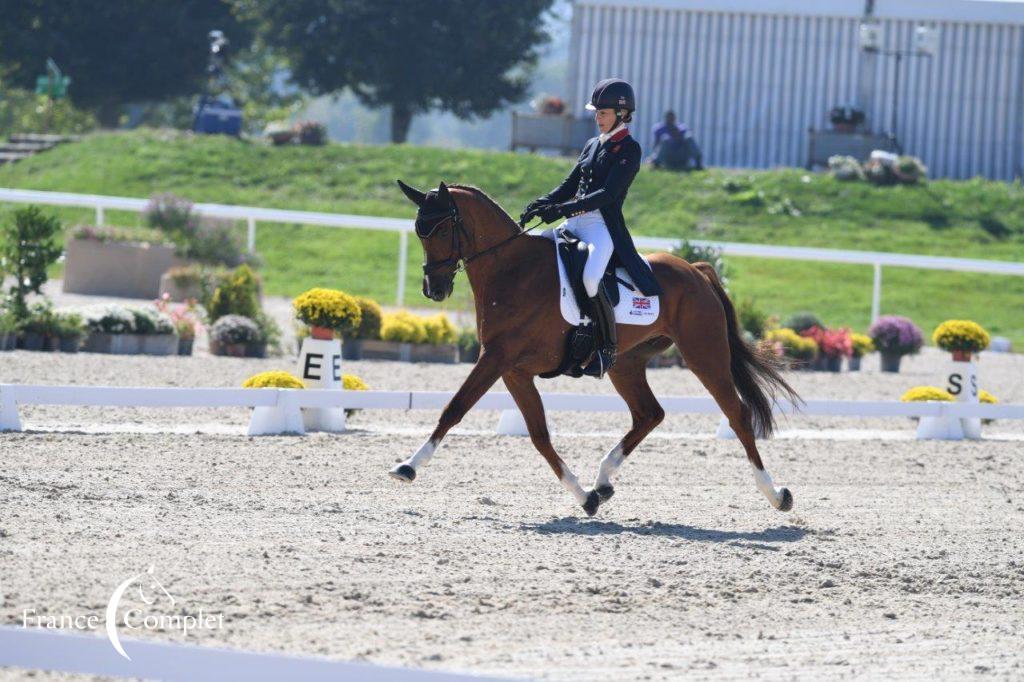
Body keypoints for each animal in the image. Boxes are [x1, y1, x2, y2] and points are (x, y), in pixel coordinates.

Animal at [387, 180, 794, 516]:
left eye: (442, 229)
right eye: (419, 231)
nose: (434, 289)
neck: (513, 269)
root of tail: (695, 269)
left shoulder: (496, 358)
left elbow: (454, 409)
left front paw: (408, 466)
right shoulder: (513, 370)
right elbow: (539, 435)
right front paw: (586, 498)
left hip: (704, 355)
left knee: (737, 415)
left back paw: (776, 495)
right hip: (625, 363)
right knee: (649, 414)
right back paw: (603, 480)